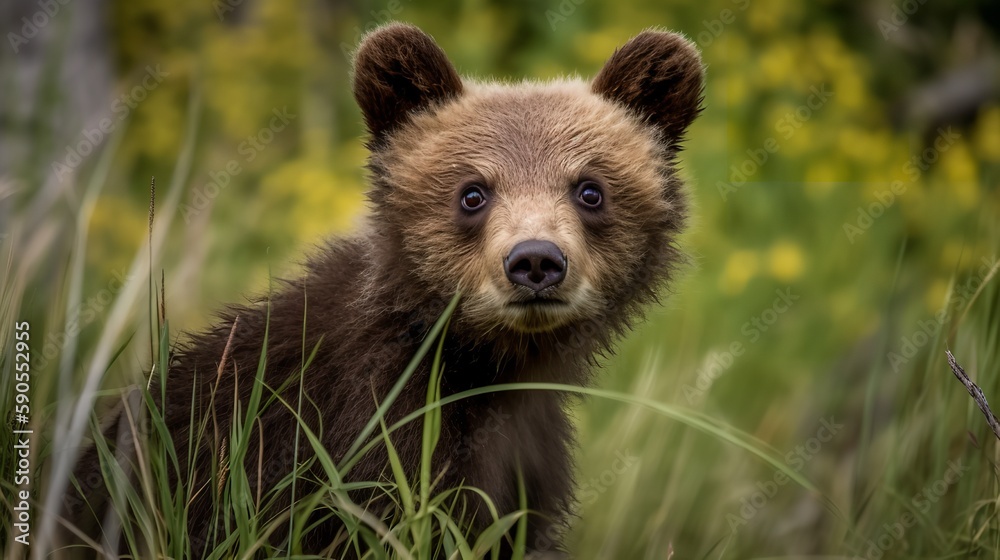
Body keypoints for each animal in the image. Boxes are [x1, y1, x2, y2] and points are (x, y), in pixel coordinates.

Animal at [65, 22, 703, 559]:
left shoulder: (525, 458)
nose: (536, 261)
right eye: (473, 192)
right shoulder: (355, 441)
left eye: (590, 189)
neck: (484, 364)